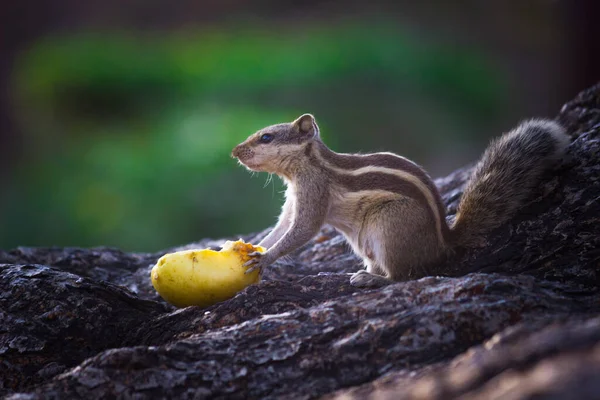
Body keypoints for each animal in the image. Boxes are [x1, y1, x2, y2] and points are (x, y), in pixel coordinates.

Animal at [232, 114, 568, 286]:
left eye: (266, 138)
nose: (234, 152)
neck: (305, 166)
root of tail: (443, 242)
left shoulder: (313, 192)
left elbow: (303, 229)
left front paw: (265, 257)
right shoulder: (293, 198)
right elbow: (282, 226)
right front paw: (256, 246)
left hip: (388, 227)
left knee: (401, 276)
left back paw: (371, 280)